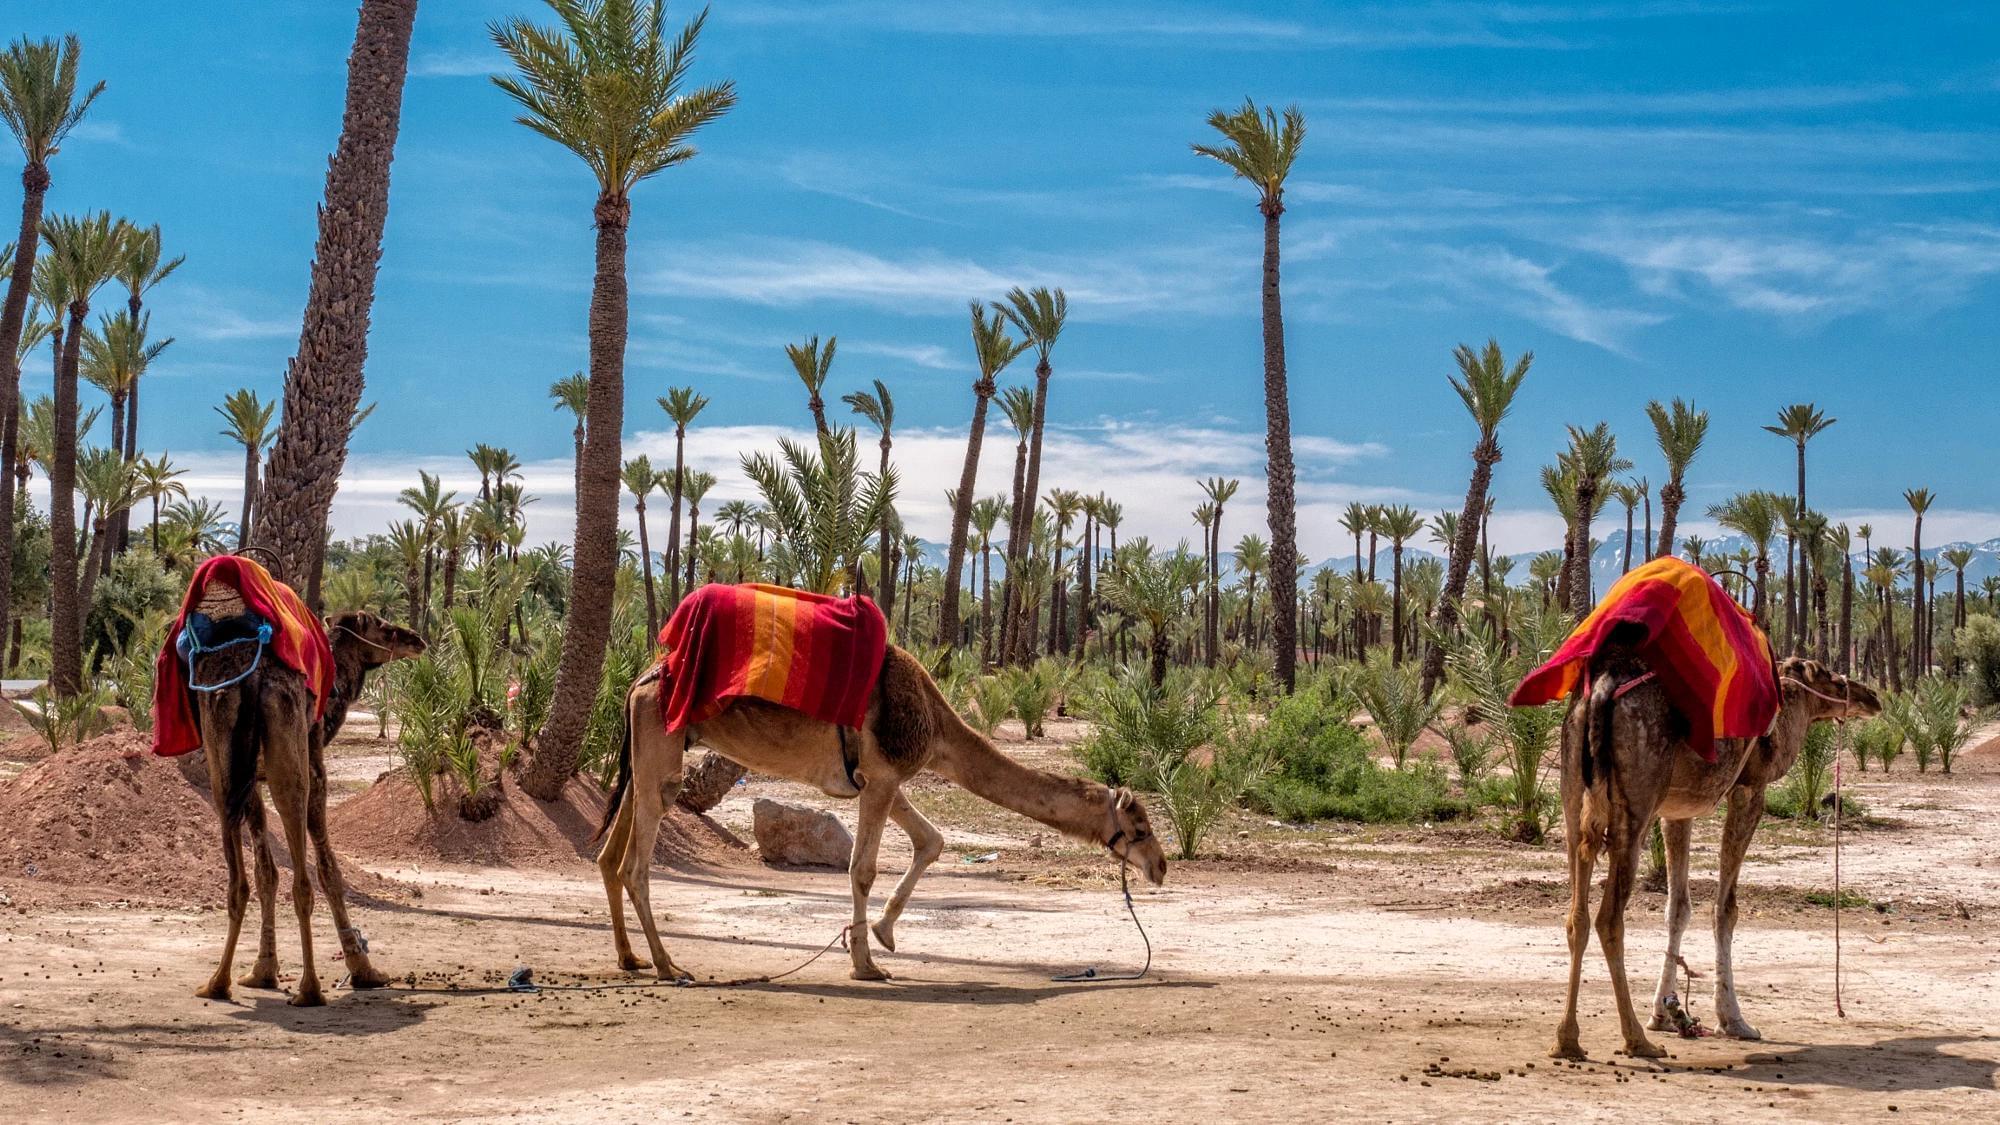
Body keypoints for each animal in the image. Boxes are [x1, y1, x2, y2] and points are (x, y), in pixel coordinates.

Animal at [191, 609, 426, 1006]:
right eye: (383, 626)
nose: (417, 639)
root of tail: (254, 681)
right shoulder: (317, 768)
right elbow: (329, 871)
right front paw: (364, 971)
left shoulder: (251, 782)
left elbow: (266, 874)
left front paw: (262, 971)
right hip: (291, 760)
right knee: (303, 880)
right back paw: (309, 989)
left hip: (221, 764)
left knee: (238, 881)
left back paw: (217, 982)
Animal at [597, 644, 1170, 981]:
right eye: (1140, 826)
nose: (1161, 867)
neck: (937, 725)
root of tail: (639, 681)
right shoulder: (884, 774)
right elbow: (863, 868)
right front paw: (865, 964)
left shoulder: (882, 779)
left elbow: (931, 841)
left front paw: (882, 933)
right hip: (661, 751)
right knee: (635, 864)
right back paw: (669, 965)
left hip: (648, 755)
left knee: (608, 855)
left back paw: (630, 959)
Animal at [1552, 651, 1880, 1060]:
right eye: (1830, 677)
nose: (1872, 696)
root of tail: (1598, 693)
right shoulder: (1749, 789)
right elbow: (1726, 909)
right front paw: (1733, 1020)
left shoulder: (1677, 809)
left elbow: (1677, 909)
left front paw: (1663, 1013)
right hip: (1637, 802)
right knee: (1609, 918)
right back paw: (1636, 1040)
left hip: (1572, 793)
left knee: (1576, 915)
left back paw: (1567, 1039)